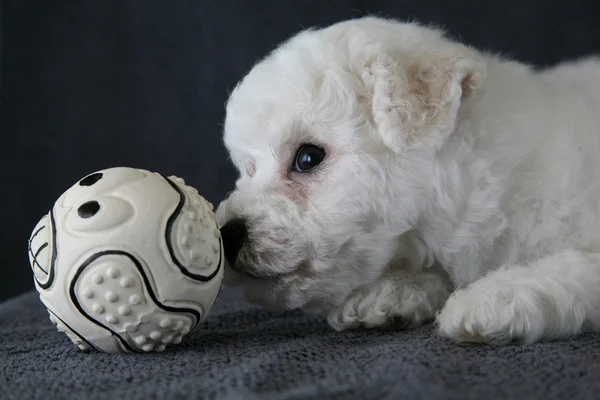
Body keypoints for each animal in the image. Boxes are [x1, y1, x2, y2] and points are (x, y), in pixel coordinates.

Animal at [218, 17, 600, 346]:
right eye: (248, 168)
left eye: (308, 158)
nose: (228, 234)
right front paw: (390, 291)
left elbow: (571, 265)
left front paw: (494, 296)